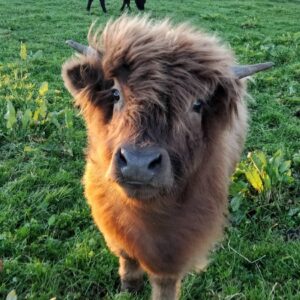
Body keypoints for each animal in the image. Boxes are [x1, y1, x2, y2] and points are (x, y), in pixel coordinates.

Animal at [62, 15, 274, 300]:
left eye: (197, 104)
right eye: (116, 94)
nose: (138, 164)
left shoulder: (178, 244)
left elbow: (165, 281)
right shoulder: (111, 220)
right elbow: (126, 256)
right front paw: (129, 287)